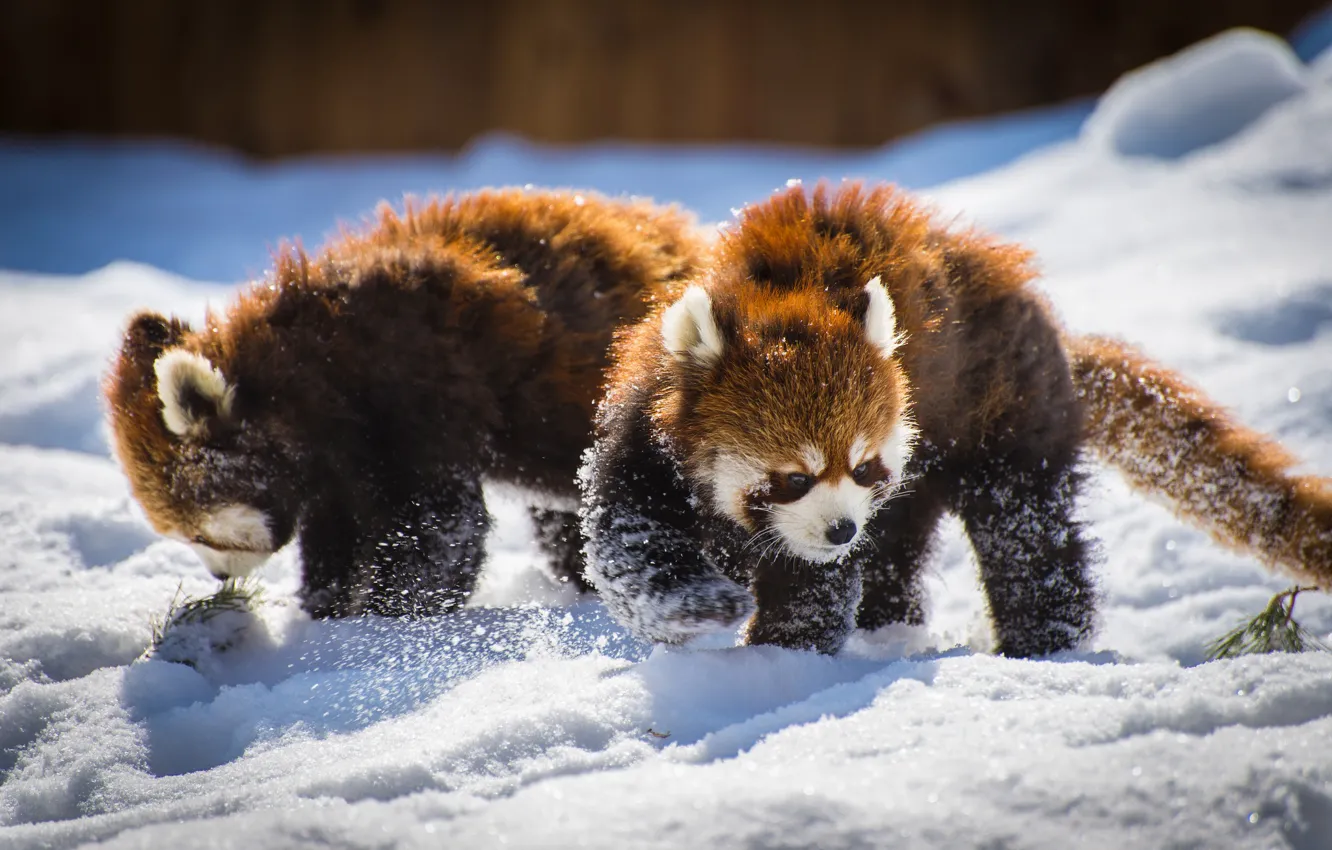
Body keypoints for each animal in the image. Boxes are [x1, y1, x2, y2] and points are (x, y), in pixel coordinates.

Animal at [105, 187, 708, 618]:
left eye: (198, 534)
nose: (217, 577)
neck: (316, 360)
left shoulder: (417, 390)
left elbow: (440, 526)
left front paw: (385, 616)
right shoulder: (336, 463)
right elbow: (336, 532)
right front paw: (324, 607)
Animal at [580, 181, 1332, 660]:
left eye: (861, 465)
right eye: (793, 477)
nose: (840, 528)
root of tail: (1050, 326)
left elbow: (813, 593)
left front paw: (771, 665)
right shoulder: (642, 436)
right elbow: (626, 549)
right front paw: (704, 607)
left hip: (1006, 415)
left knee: (1025, 538)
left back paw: (1042, 647)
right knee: (897, 554)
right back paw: (890, 631)